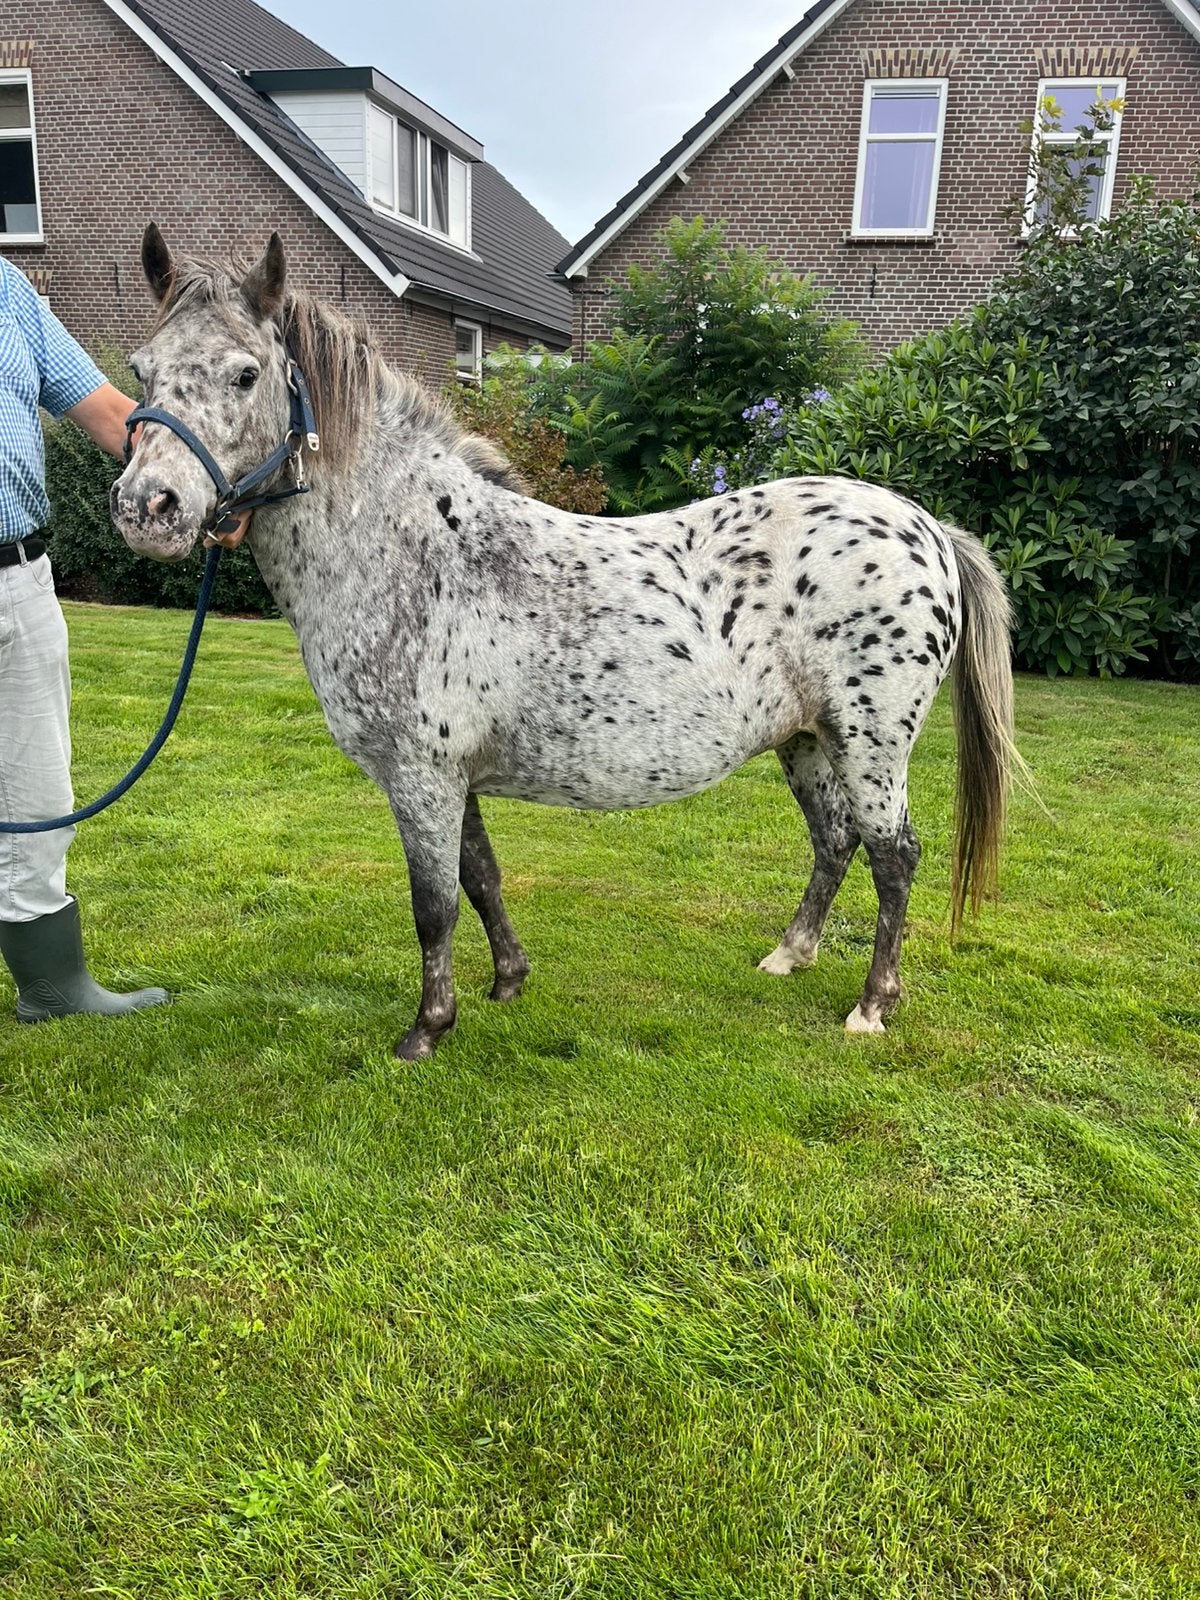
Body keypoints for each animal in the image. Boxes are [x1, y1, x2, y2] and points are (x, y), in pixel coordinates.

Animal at [110, 226, 1020, 1060]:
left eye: (245, 374)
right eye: (141, 370)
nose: (147, 507)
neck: (412, 551)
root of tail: (927, 528)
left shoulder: (420, 776)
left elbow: (433, 905)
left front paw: (425, 1031)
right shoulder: (453, 777)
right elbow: (480, 878)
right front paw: (508, 982)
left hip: (871, 743)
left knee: (894, 855)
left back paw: (872, 1005)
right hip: (806, 739)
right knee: (835, 842)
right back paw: (789, 956)